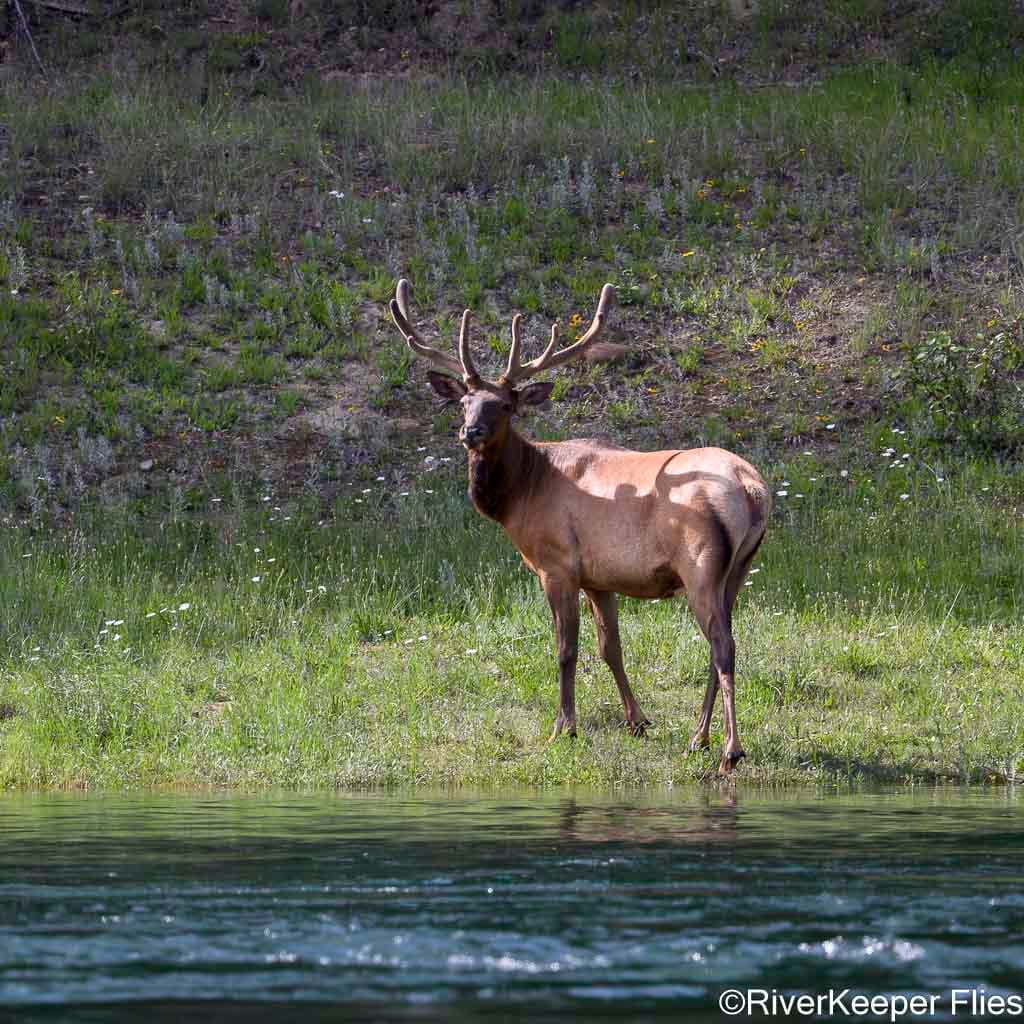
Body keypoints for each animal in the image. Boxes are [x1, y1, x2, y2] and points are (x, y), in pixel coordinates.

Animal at [389, 280, 770, 775]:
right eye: (464, 401)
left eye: (505, 405)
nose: (470, 432)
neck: (523, 493)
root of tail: (753, 489)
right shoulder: (599, 578)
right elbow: (611, 647)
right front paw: (637, 721)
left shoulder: (556, 566)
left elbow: (565, 650)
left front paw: (563, 727)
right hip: (737, 570)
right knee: (718, 643)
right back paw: (697, 737)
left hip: (701, 566)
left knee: (724, 646)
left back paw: (729, 750)